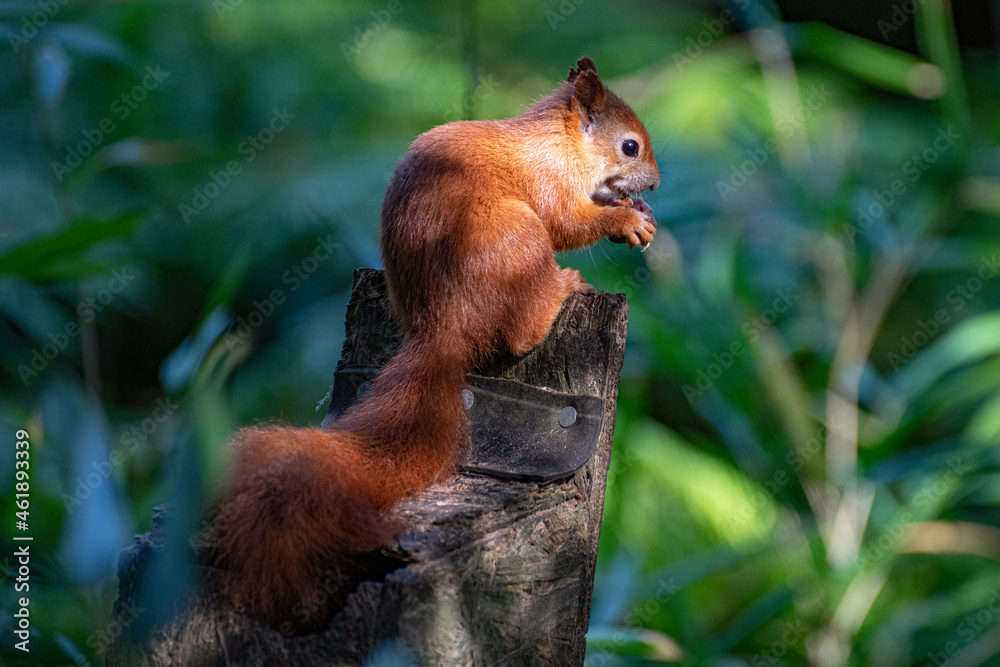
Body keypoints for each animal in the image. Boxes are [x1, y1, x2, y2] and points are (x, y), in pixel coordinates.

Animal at [211, 57, 660, 631]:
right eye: (629, 146)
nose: (655, 183)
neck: (558, 143)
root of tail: (446, 322)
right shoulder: (551, 186)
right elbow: (568, 222)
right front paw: (624, 220)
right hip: (521, 237)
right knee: (521, 330)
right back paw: (562, 288)